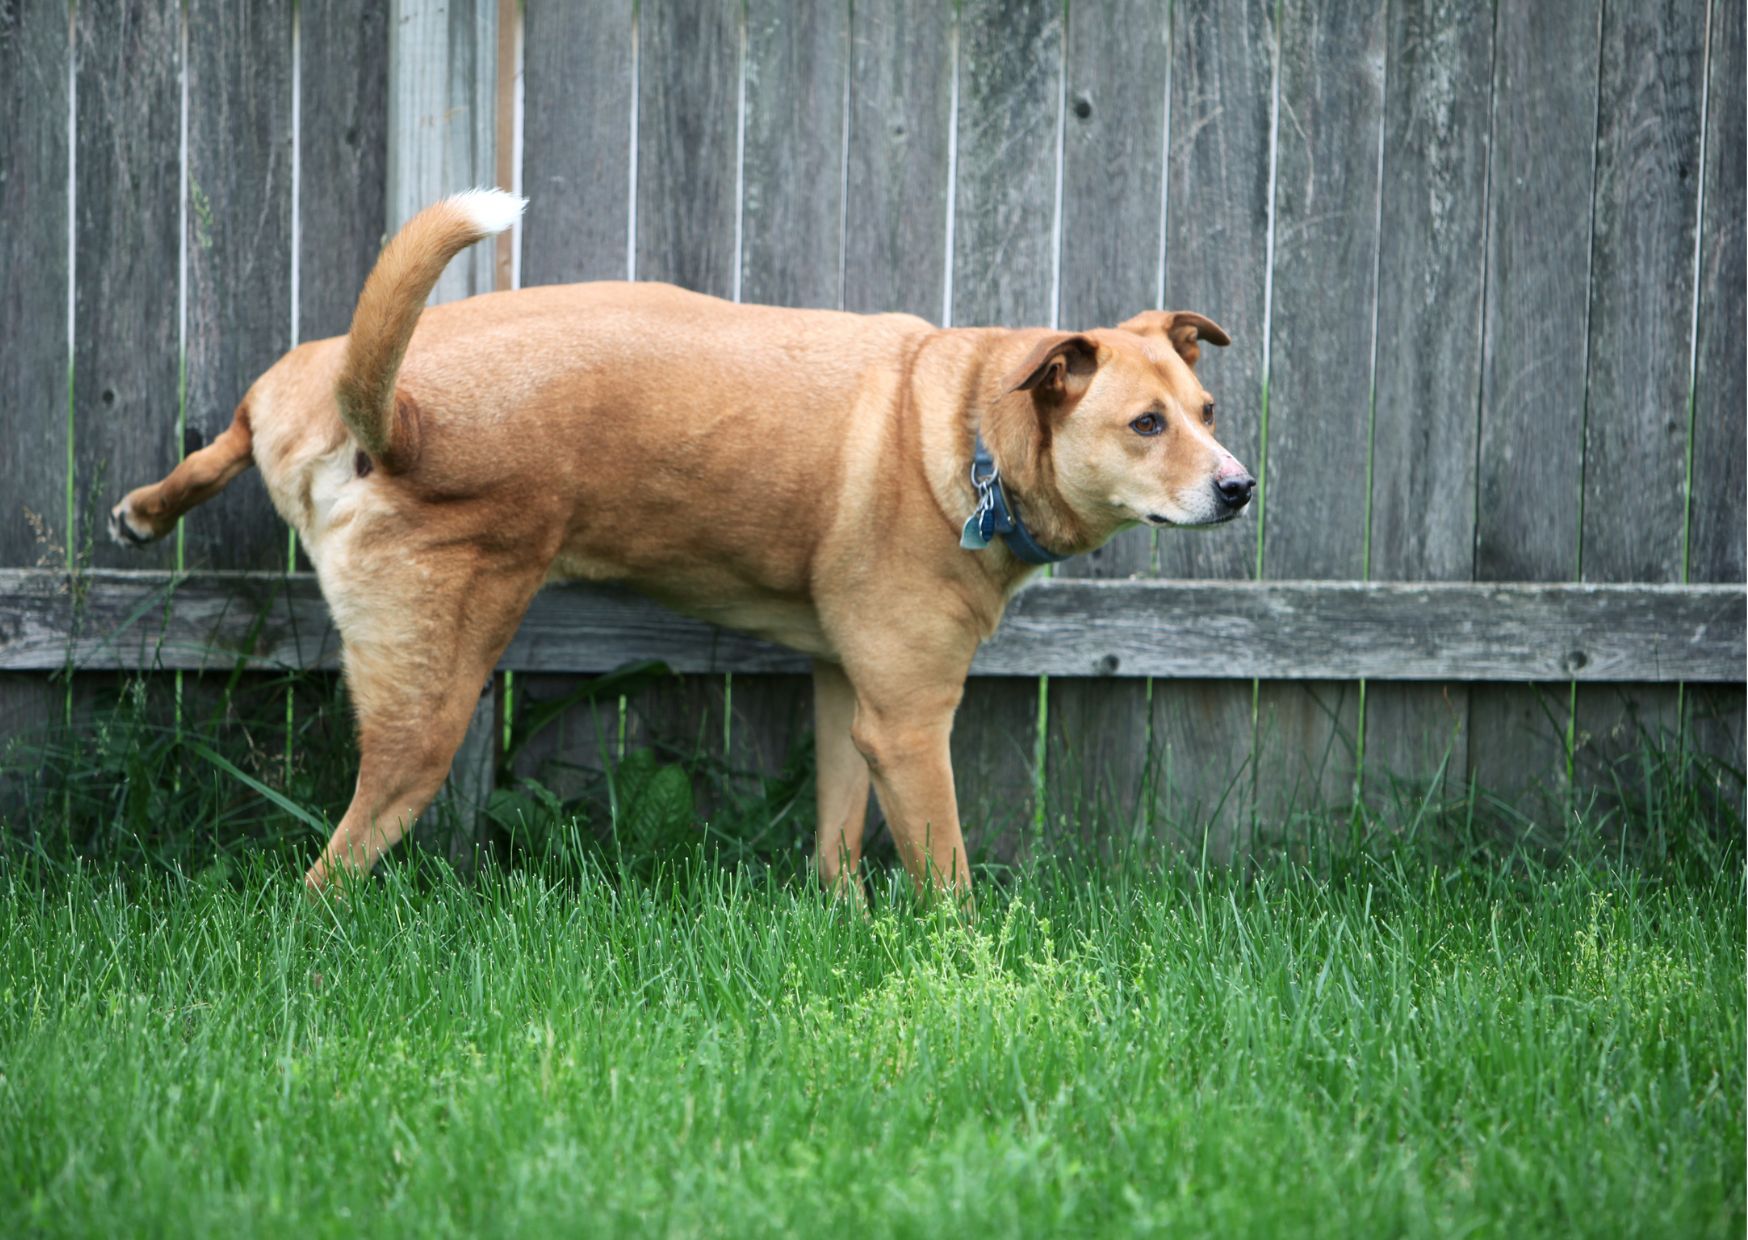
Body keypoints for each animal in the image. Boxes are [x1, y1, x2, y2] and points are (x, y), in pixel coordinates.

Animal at [109, 190, 1251, 888]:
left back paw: (151, 507)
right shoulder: (911, 722)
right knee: (327, 873)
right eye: (1146, 425)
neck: (969, 424)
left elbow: (837, 840)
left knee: (235, 427)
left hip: (297, 379)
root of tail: (395, 417)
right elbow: (949, 879)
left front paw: (842, 923)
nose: (1240, 487)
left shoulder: (852, 696)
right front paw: (965, 973)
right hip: (427, 707)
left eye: (1205, 409)